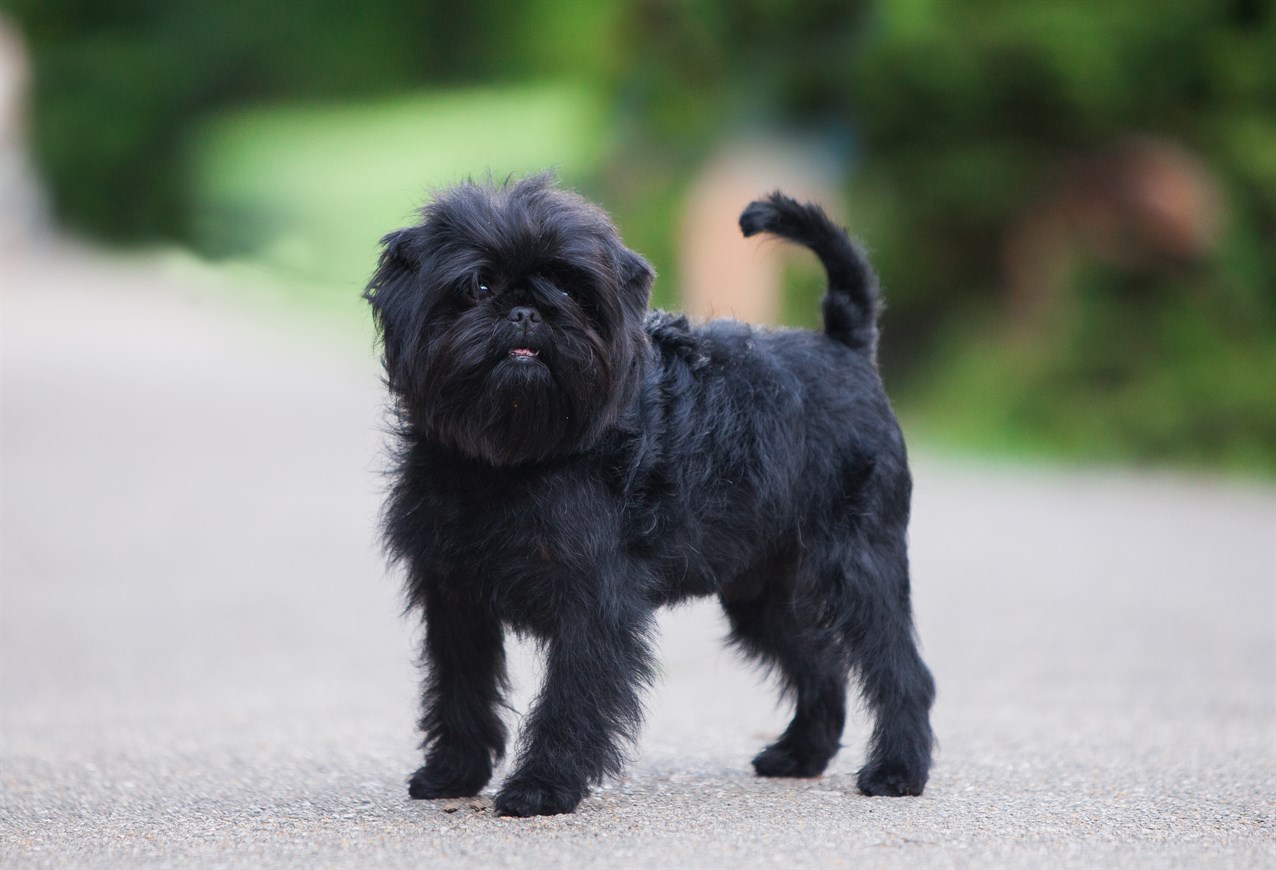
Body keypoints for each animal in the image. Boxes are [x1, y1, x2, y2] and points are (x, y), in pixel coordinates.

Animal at [364, 174, 934, 811]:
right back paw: (800, 755)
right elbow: (460, 689)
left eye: (572, 289)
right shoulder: (454, 597)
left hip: (858, 565)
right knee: (821, 662)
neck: (509, 458)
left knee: (900, 670)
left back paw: (898, 770)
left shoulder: (594, 602)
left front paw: (543, 786)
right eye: (478, 285)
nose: (527, 309)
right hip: (764, 591)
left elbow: (570, 698)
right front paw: (455, 773)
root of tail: (845, 348)